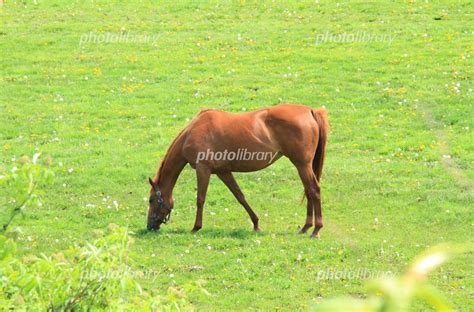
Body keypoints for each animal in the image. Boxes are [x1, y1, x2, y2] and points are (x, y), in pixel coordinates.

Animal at [148, 103, 330, 238]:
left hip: (302, 165)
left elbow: (200, 199)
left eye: (151, 200)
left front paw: (195, 228)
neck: (192, 132)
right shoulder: (223, 172)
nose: (149, 226)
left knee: (314, 190)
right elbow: (240, 196)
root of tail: (310, 111)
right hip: (304, 166)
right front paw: (256, 224)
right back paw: (306, 227)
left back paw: (316, 230)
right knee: (309, 191)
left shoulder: (203, 169)